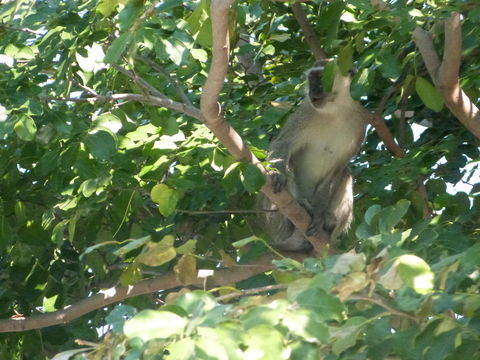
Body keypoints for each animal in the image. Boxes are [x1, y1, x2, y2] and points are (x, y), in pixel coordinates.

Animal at [260, 62, 366, 250]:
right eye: (312, 79)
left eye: (322, 78)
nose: (312, 90)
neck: (336, 110)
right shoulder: (305, 113)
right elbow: (282, 145)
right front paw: (277, 174)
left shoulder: (360, 125)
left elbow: (338, 168)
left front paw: (318, 214)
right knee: (290, 162)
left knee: (346, 173)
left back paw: (328, 223)